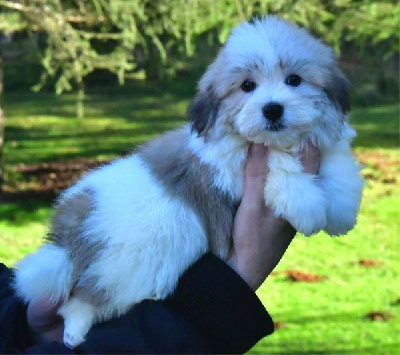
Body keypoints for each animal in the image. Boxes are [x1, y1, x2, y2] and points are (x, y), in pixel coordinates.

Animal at [14, 16, 364, 348]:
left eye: (294, 80)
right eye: (247, 86)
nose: (272, 109)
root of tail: (71, 234)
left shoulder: (323, 145)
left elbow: (337, 164)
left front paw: (341, 212)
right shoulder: (227, 162)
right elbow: (279, 163)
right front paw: (308, 207)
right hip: (125, 268)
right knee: (83, 300)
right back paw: (75, 330)